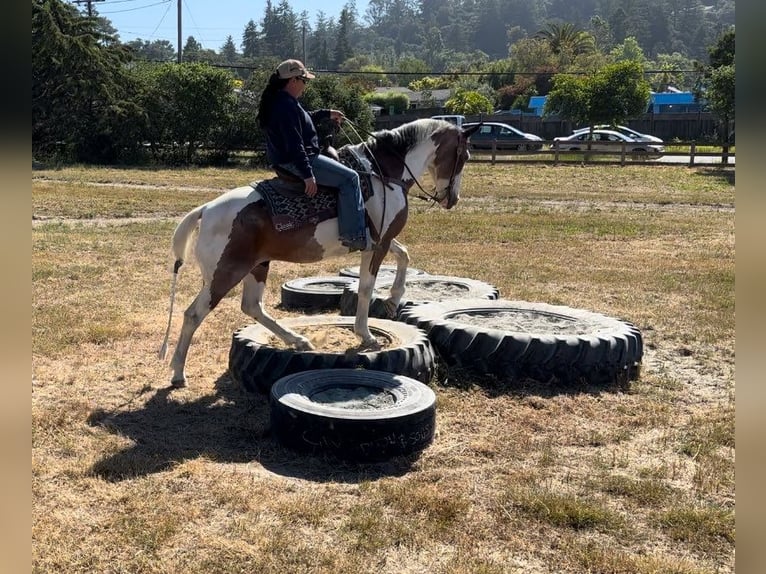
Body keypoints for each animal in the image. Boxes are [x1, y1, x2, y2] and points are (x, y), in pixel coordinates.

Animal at [159, 118, 480, 387]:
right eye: (464, 157)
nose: (452, 199)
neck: (384, 174)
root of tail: (206, 210)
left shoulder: (380, 239)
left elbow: (405, 255)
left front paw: (393, 300)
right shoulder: (377, 245)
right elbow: (367, 287)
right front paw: (366, 333)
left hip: (257, 265)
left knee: (252, 306)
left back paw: (298, 341)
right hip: (225, 274)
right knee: (194, 314)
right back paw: (177, 373)